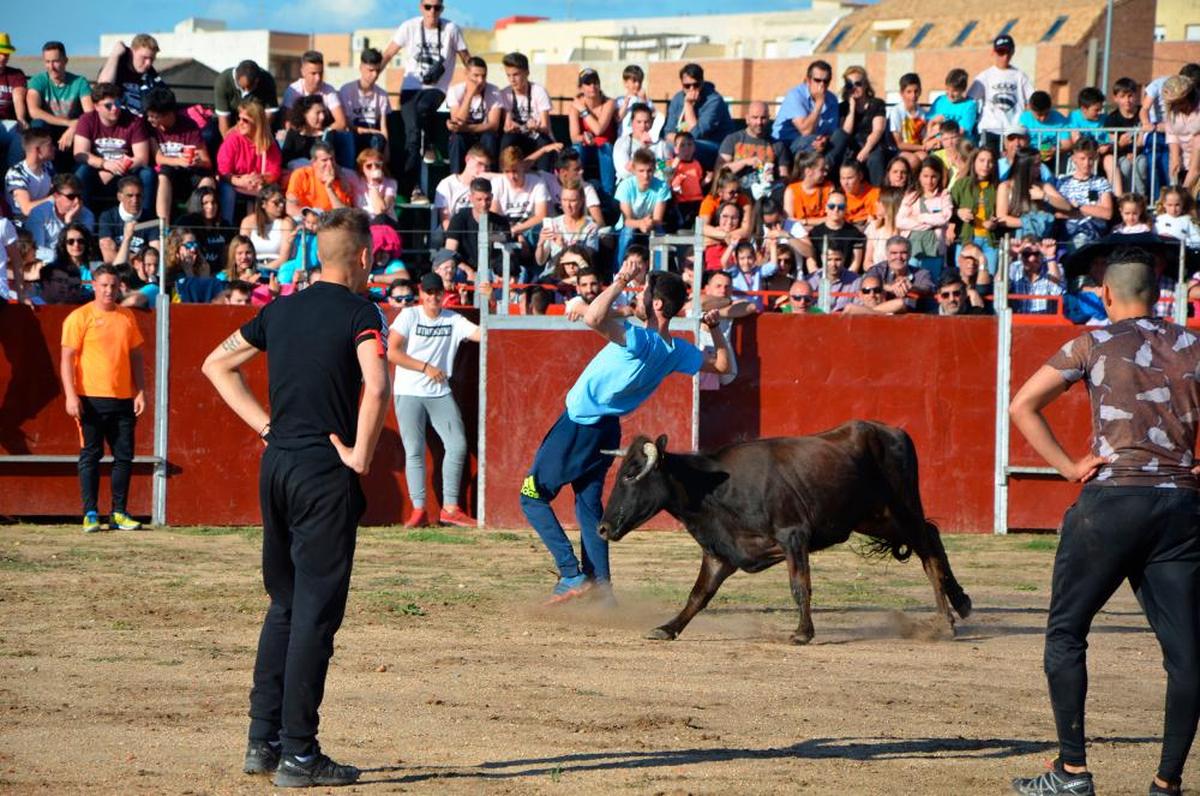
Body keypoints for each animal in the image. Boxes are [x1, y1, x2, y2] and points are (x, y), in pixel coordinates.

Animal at [595, 420, 969, 643]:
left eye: (630, 474)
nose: (602, 527)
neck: (715, 488)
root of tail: (894, 432)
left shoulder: (793, 536)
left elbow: (799, 586)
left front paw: (802, 633)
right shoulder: (721, 552)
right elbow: (698, 594)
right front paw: (667, 628)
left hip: (903, 507)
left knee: (928, 550)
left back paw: (946, 620)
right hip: (876, 517)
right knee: (931, 538)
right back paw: (960, 605)